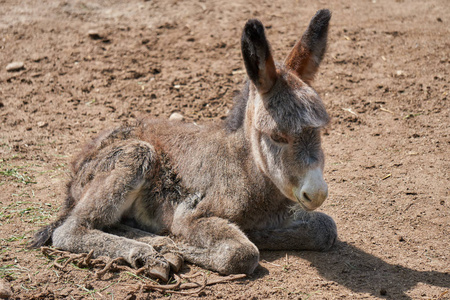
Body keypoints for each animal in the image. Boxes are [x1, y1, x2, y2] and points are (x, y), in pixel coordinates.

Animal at [29, 9, 336, 282]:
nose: (317, 194)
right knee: (71, 230)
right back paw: (150, 252)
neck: (245, 170)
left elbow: (326, 228)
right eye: (277, 137)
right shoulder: (193, 216)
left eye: (320, 131)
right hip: (134, 154)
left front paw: (260, 233)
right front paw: (185, 246)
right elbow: (241, 253)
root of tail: (76, 172)